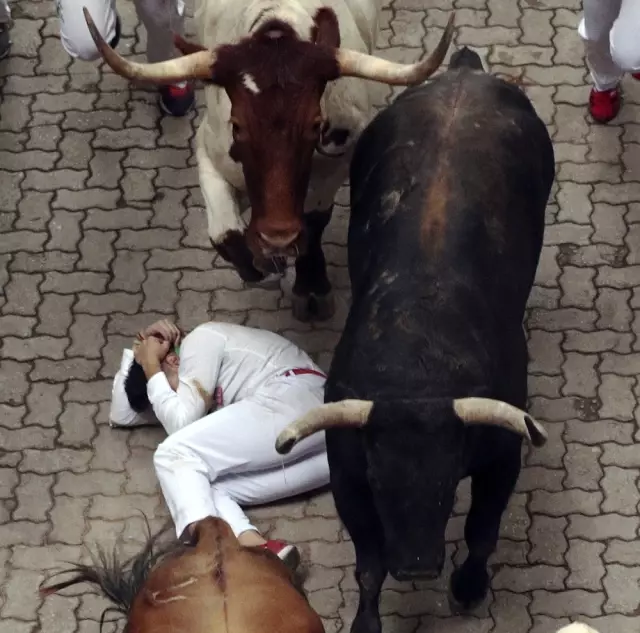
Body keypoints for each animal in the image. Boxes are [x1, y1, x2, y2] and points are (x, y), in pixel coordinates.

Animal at [276, 47, 556, 632]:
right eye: (382, 485)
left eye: (449, 483)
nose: (418, 567)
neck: (415, 373)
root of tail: (464, 72)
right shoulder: (349, 476)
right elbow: (368, 565)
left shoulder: (501, 459)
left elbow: (481, 531)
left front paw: (468, 587)